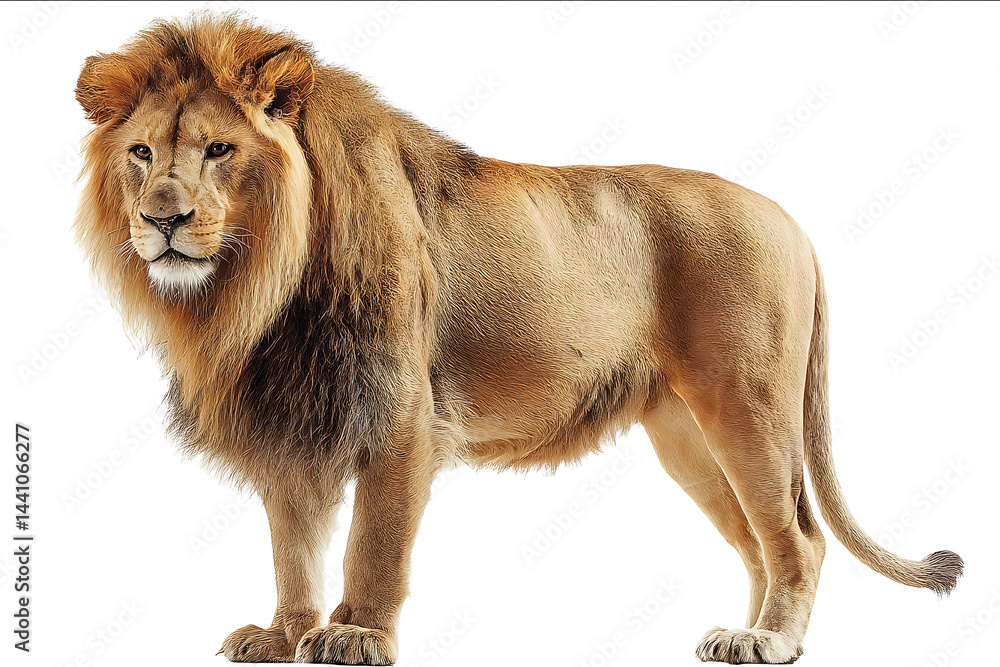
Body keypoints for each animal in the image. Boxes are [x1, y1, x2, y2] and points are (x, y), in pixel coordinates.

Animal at [74, 12, 962, 665]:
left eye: (219, 150)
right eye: (142, 152)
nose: (161, 218)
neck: (252, 290)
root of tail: (793, 220)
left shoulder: (400, 415)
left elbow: (372, 543)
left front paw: (355, 632)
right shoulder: (292, 415)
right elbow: (292, 546)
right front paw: (286, 632)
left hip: (747, 403)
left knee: (800, 536)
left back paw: (771, 640)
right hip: (688, 436)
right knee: (757, 542)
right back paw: (742, 631)